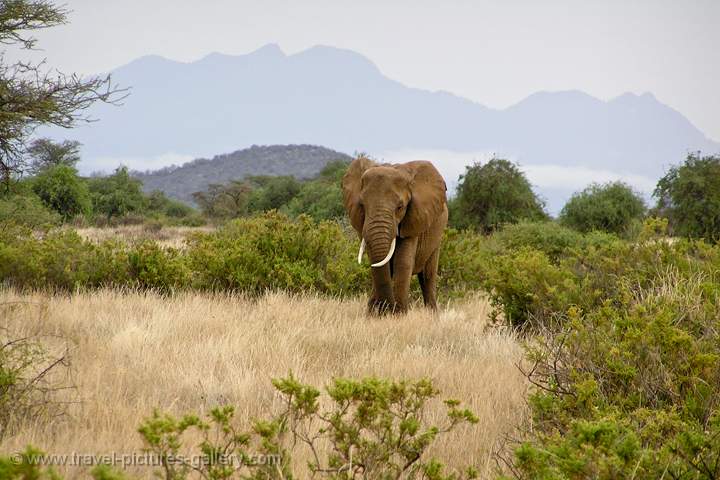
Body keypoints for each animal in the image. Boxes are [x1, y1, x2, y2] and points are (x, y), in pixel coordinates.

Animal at [340, 157, 448, 316]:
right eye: (362, 205)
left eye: (400, 207)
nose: (388, 309)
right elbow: (377, 262)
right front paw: (375, 315)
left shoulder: (413, 219)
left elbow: (403, 262)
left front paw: (399, 316)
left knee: (427, 276)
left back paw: (432, 316)